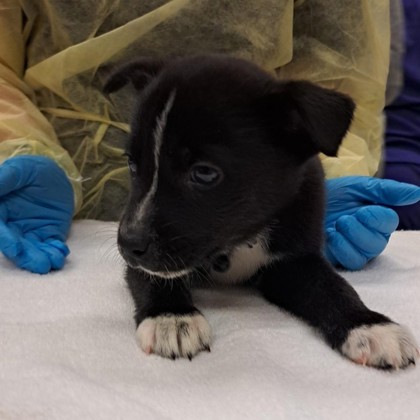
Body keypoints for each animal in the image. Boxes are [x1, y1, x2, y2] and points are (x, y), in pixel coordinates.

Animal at [104, 54, 418, 369]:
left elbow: (332, 286)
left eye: (204, 173)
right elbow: (152, 276)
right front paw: (171, 318)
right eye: (132, 164)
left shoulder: (294, 259)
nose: (128, 244)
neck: (241, 240)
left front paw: (369, 325)